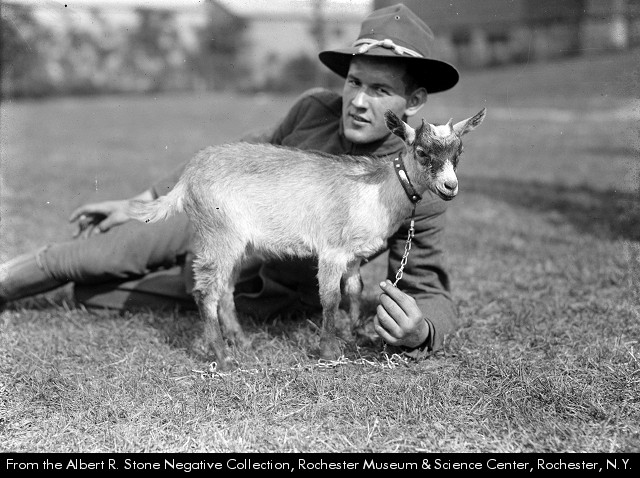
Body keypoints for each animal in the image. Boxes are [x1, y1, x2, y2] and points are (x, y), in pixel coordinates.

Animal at [128, 108, 486, 369]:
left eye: (459, 153)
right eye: (423, 152)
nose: (450, 187)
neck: (378, 189)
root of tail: (186, 179)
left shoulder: (354, 255)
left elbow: (354, 290)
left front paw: (355, 334)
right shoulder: (332, 249)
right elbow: (330, 297)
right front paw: (329, 351)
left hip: (237, 243)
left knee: (226, 291)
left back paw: (242, 342)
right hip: (218, 234)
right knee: (206, 293)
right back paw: (224, 357)